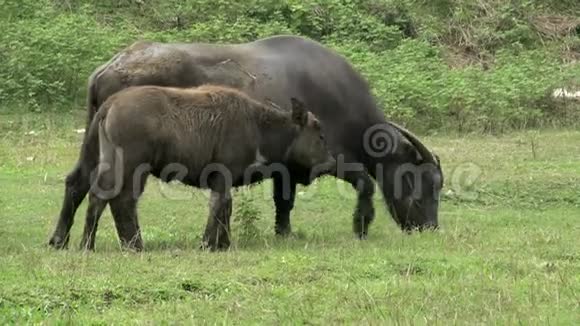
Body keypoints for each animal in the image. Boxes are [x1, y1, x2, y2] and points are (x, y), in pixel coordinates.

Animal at [48, 34, 444, 248]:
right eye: (422, 182)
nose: (429, 228)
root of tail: (109, 68)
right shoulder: (324, 159)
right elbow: (362, 184)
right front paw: (360, 225)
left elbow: (284, 203)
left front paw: (283, 232)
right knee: (117, 195)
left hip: (93, 146)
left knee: (76, 182)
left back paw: (60, 239)